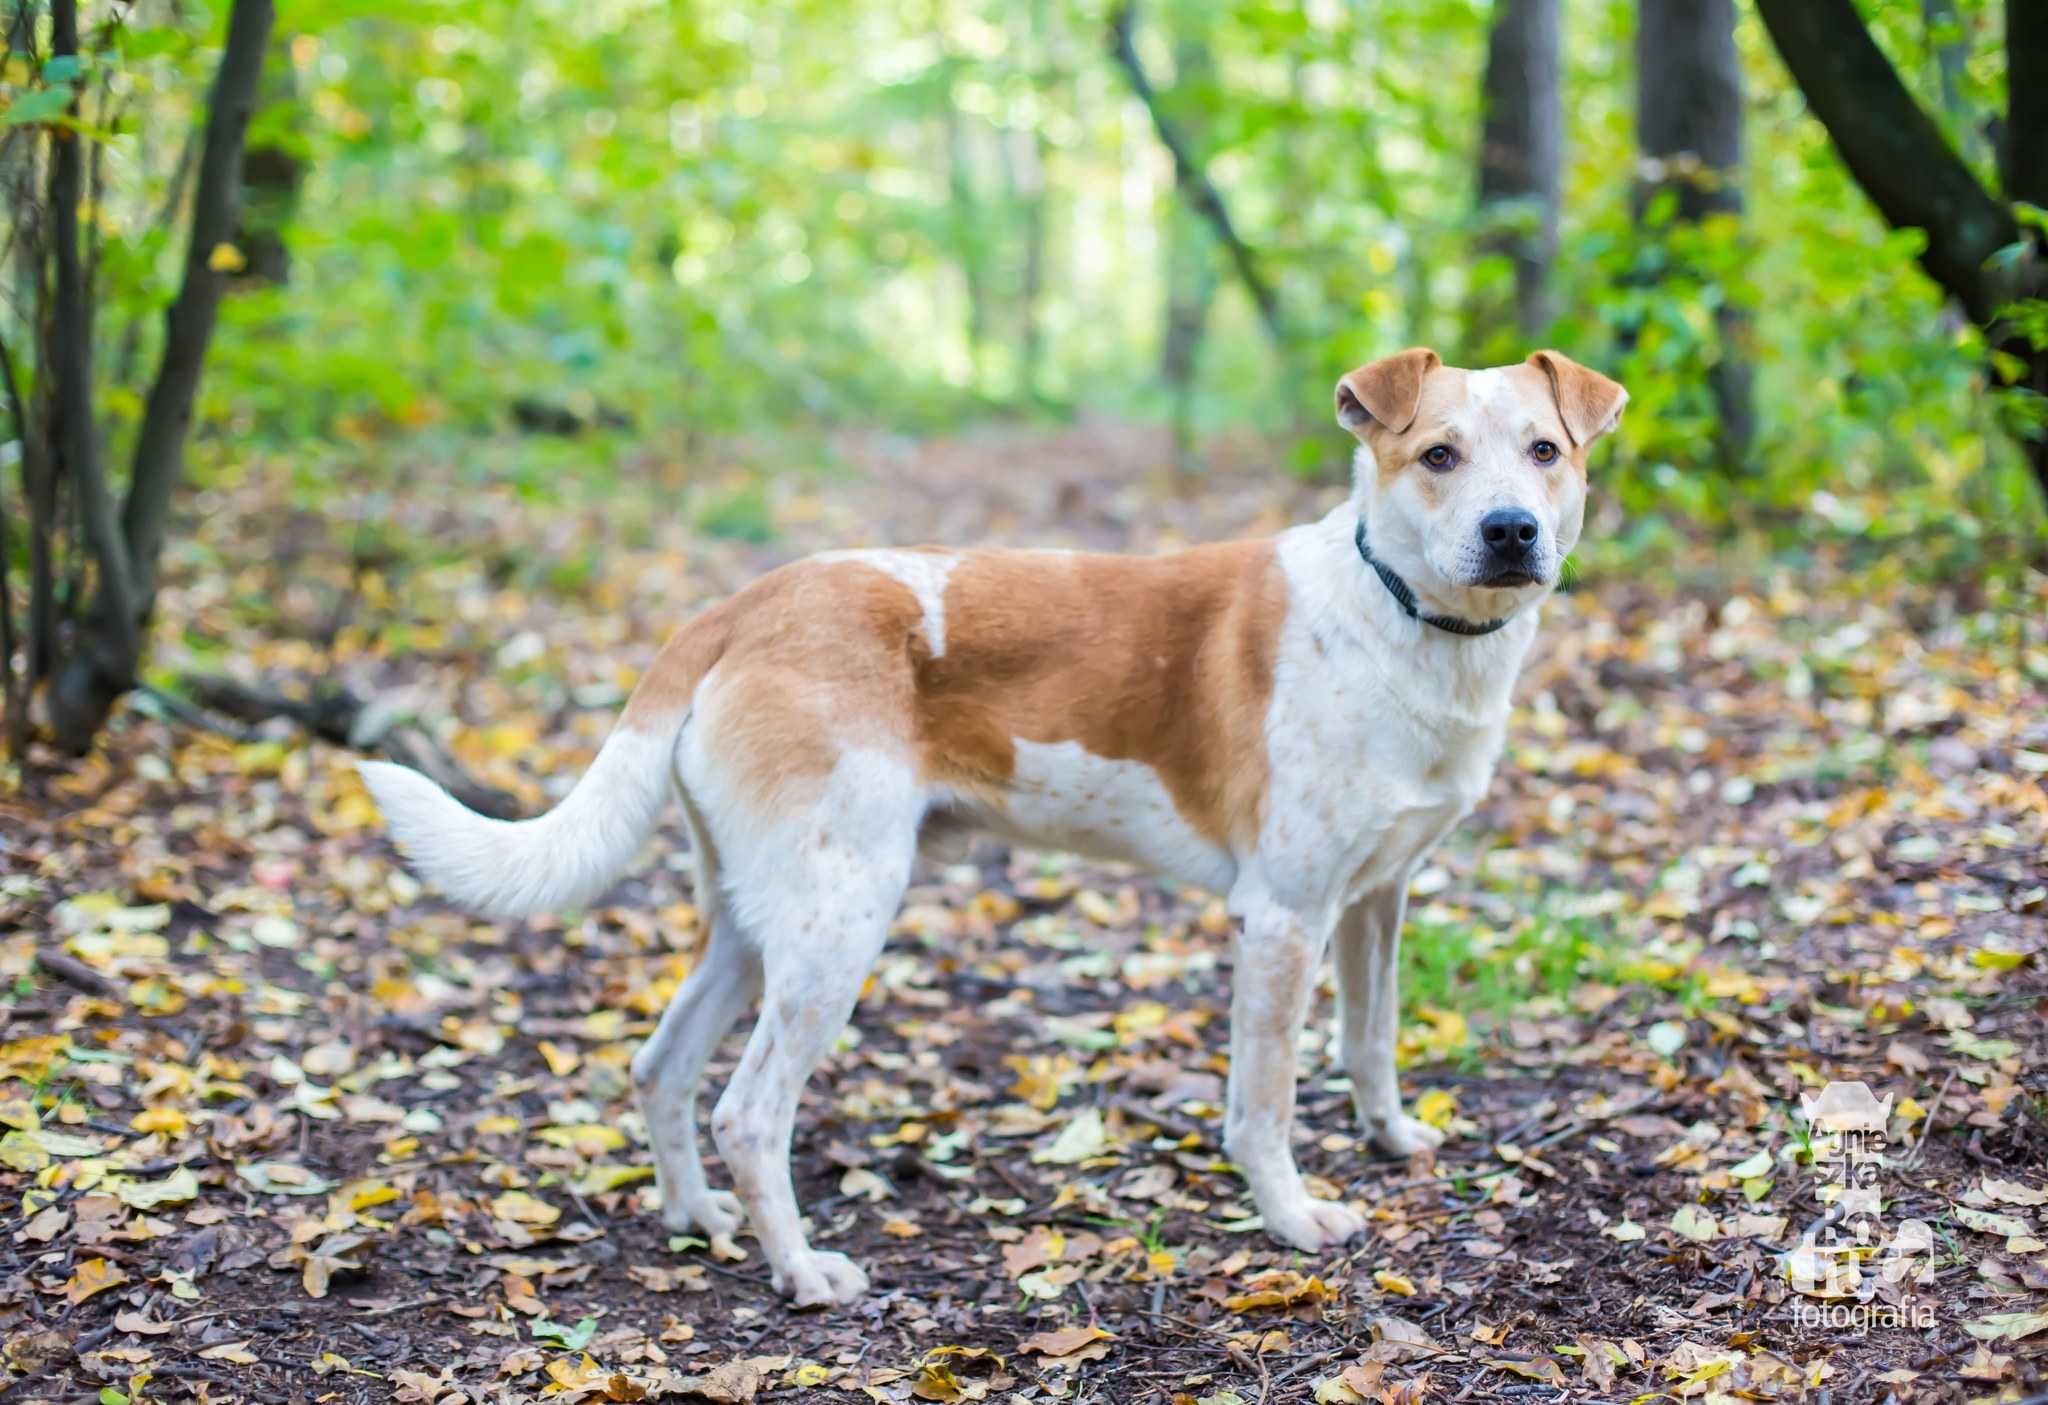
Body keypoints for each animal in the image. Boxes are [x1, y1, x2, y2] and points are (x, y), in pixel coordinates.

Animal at [360, 344, 1622, 1310]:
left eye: (1544, 454)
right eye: (1436, 456)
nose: (1510, 531)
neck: (1403, 620)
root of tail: (743, 603)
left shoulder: (1372, 898)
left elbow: (1370, 1037)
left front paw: (1390, 1137)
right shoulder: (1280, 915)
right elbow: (1260, 1104)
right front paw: (1290, 1215)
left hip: (757, 918)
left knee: (662, 1066)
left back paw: (695, 1218)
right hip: (839, 918)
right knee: (747, 1108)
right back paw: (801, 1272)